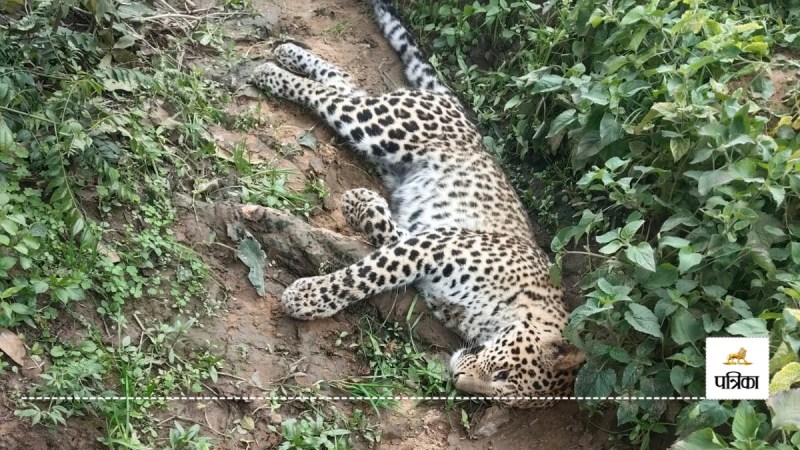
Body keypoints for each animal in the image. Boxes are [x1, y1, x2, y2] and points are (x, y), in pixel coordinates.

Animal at [250, 0, 585, 407]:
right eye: (503, 374)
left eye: (501, 398)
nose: (457, 379)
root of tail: (456, 108)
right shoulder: (438, 246)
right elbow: (366, 275)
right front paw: (307, 297)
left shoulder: (433, 247)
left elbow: (390, 236)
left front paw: (362, 204)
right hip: (387, 126)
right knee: (335, 98)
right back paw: (271, 71)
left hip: (383, 141)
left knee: (344, 83)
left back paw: (287, 54)